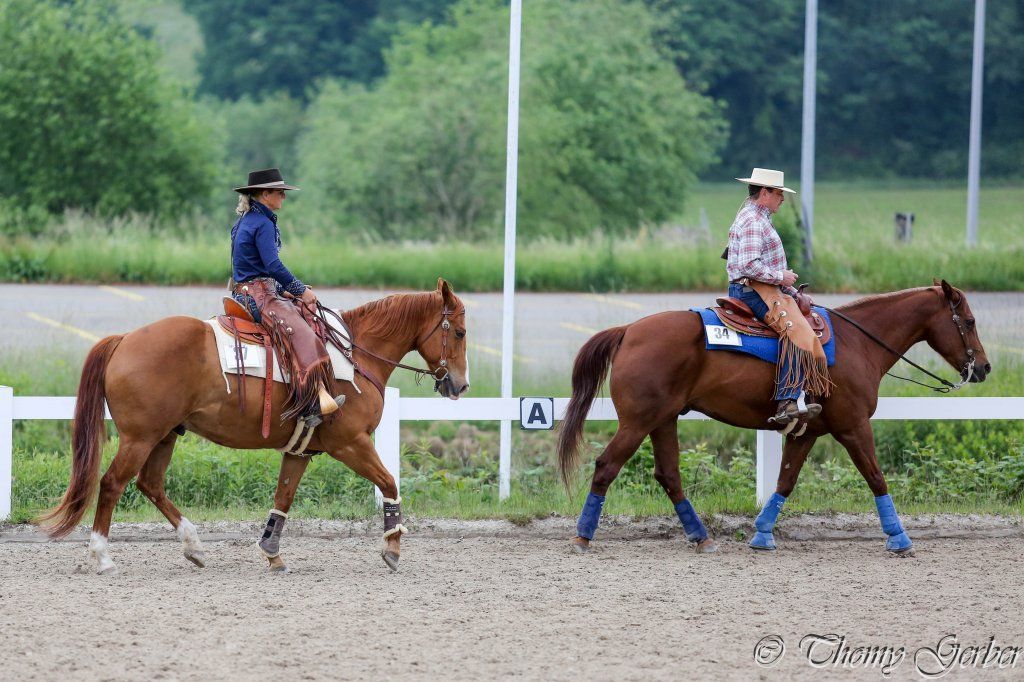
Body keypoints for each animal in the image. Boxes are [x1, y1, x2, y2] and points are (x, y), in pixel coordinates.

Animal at [38, 278, 469, 574]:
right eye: (460, 332)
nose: (460, 385)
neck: (353, 355)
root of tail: (124, 339)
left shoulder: (301, 450)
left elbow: (283, 498)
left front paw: (272, 554)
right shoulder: (351, 444)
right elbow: (389, 483)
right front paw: (393, 548)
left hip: (163, 436)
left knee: (151, 485)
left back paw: (193, 545)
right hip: (139, 438)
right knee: (113, 484)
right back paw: (102, 556)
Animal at [557, 280, 991, 554]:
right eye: (969, 322)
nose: (984, 368)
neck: (859, 343)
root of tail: (629, 329)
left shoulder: (807, 431)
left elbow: (785, 480)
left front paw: (762, 535)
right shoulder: (853, 427)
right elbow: (876, 477)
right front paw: (899, 538)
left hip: (663, 421)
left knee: (669, 475)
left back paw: (701, 537)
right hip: (638, 422)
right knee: (607, 466)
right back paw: (582, 537)